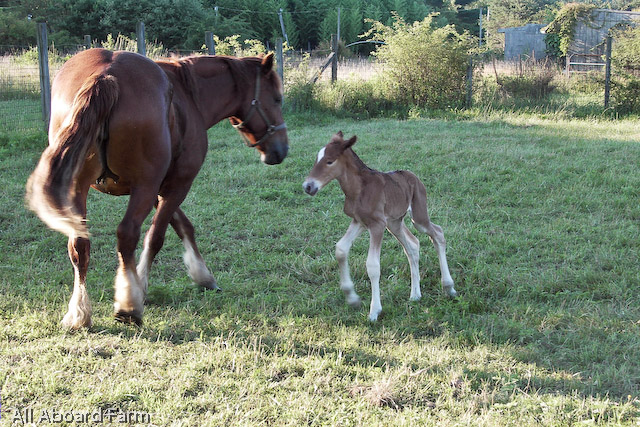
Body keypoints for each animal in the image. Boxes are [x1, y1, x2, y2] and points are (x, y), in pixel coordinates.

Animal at [25, 48, 288, 329]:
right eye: (277, 99)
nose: (281, 149)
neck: (188, 95)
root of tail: (105, 76)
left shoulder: (159, 188)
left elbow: (183, 225)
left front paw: (201, 275)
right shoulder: (175, 184)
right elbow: (157, 236)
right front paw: (139, 286)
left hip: (81, 187)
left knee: (79, 244)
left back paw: (79, 312)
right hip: (143, 186)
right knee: (127, 235)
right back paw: (128, 307)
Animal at [302, 132, 456, 321]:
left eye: (330, 161)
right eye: (317, 159)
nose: (308, 186)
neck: (358, 189)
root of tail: (413, 175)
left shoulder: (377, 225)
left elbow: (373, 265)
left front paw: (374, 311)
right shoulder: (360, 222)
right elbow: (341, 249)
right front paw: (352, 298)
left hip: (417, 217)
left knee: (438, 233)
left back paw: (448, 287)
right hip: (394, 223)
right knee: (413, 245)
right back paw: (415, 294)